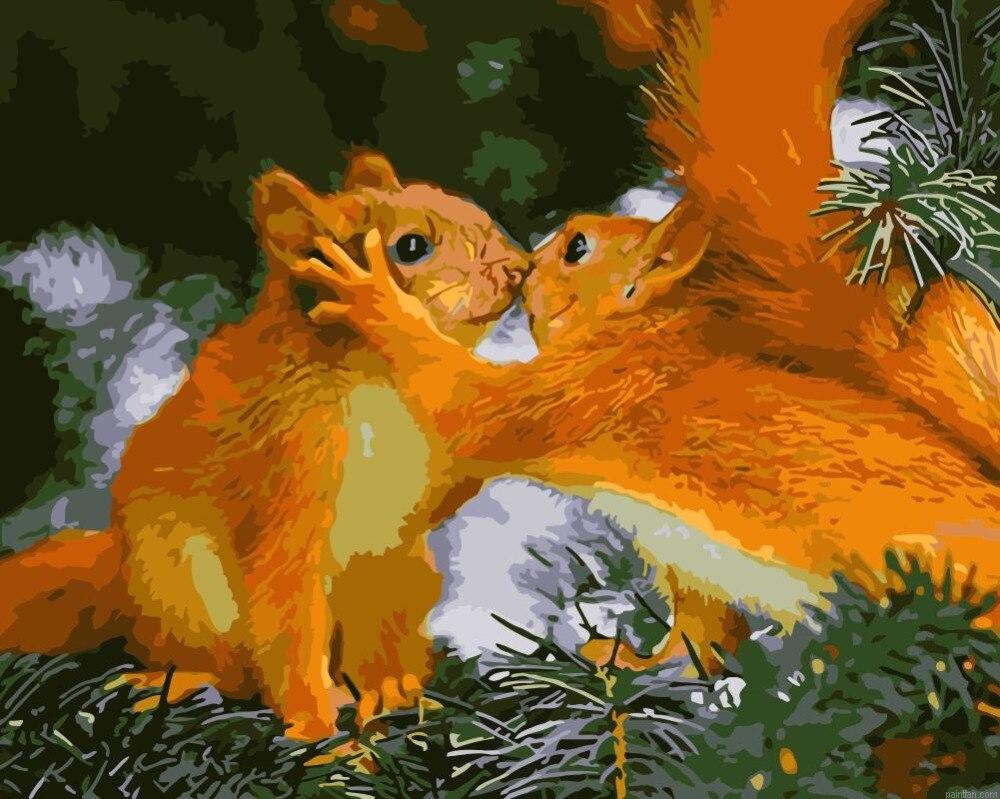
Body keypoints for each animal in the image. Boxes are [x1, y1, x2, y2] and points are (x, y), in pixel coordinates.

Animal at [0, 150, 529, 739]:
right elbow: (288, 616)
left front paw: (387, 694)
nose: (519, 267)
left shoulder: (393, 534)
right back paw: (183, 681)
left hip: (411, 570)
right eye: (411, 247)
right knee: (226, 669)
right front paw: (320, 734)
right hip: (179, 581)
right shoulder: (291, 476)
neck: (380, 378)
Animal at [299, 0, 1000, 668]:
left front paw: (374, 298)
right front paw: (641, 666)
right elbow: (700, 635)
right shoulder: (685, 567)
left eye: (577, 248)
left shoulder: (583, 391)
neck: (638, 335)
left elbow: (466, 408)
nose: (524, 266)